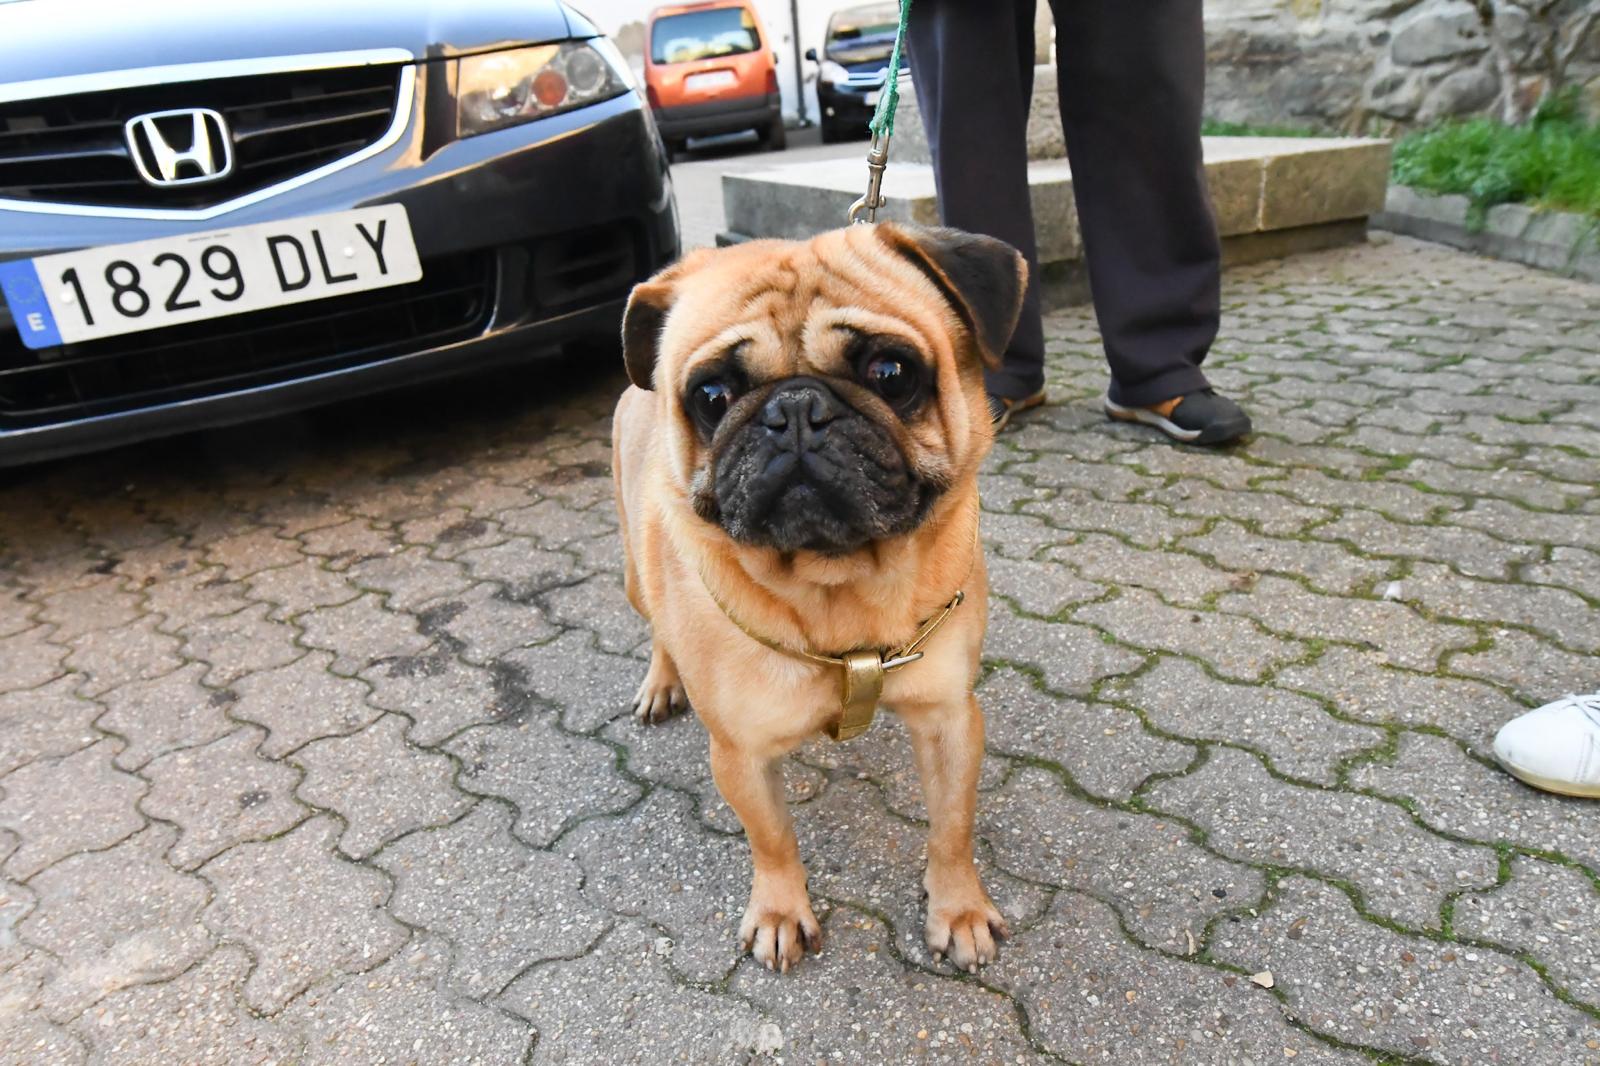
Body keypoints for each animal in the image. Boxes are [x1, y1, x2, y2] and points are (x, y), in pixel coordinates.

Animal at [611, 219, 1024, 966]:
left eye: (890, 374)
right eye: (712, 396)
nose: (796, 408)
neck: (837, 583)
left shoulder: (950, 719)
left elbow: (951, 827)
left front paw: (958, 908)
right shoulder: (740, 753)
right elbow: (772, 838)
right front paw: (780, 912)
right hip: (634, 571)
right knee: (654, 621)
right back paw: (661, 682)